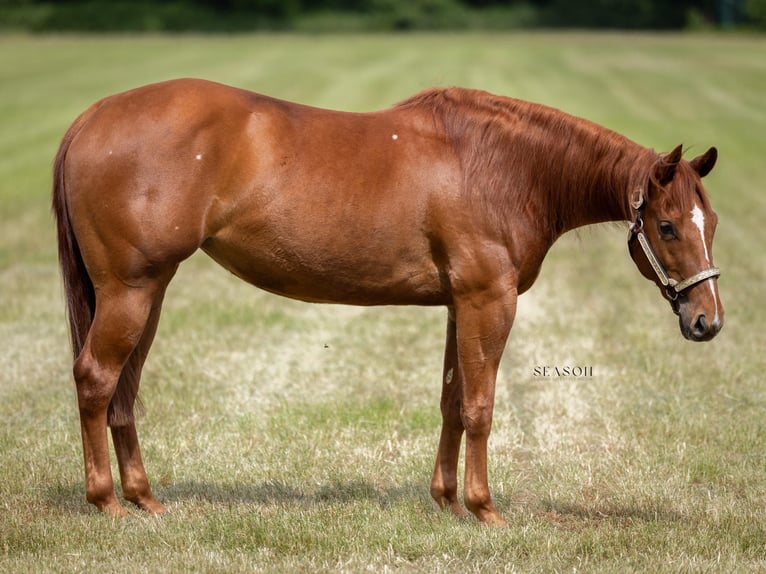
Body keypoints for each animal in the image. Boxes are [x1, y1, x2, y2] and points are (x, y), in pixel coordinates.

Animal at [52, 79, 723, 525]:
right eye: (667, 227)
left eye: (709, 221)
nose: (707, 321)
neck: (502, 166)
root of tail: (92, 115)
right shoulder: (489, 302)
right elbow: (481, 406)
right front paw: (484, 509)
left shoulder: (460, 304)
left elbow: (453, 401)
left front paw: (446, 500)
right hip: (131, 290)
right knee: (95, 379)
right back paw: (106, 502)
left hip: (149, 291)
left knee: (123, 391)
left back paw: (144, 498)